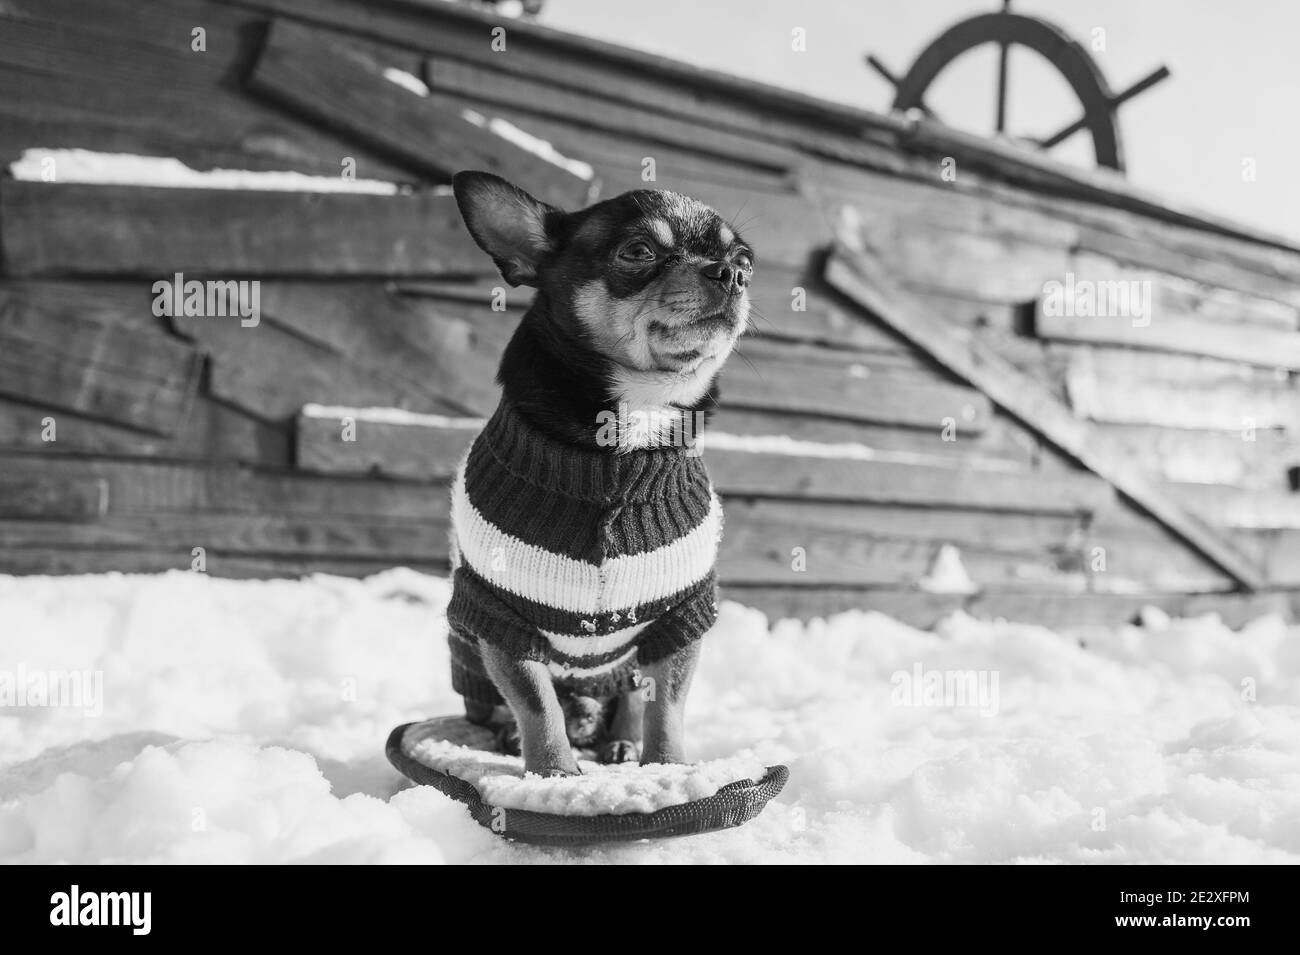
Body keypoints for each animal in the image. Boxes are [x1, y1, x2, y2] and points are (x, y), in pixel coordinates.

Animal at [447, 171, 754, 779]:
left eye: (745, 260)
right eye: (637, 252)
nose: (730, 273)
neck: (629, 428)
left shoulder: (676, 618)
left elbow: (666, 703)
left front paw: (666, 767)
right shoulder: (501, 618)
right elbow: (536, 702)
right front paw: (553, 773)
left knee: (631, 694)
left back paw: (622, 744)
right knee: (507, 708)